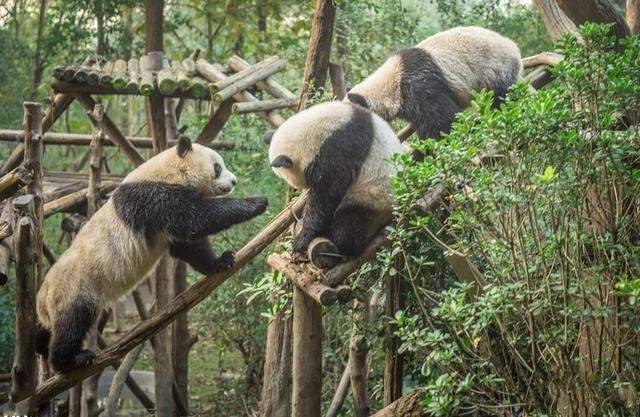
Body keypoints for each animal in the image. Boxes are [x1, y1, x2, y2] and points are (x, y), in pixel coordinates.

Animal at [37, 137, 268, 374]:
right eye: (218, 167)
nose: (234, 181)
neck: (170, 170)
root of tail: (42, 301)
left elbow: (187, 245)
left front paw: (220, 262)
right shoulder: (151, 197)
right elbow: (193, 218)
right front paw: (256, 203)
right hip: (76, 288)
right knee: (72, 324)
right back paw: (70, 360)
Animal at [264, 102, 404, 268]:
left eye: (286, 179)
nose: (298, 188)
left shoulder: (340, 151)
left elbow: (327, 194)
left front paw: (302, 239)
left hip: (373, 199)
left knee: (348, 228)